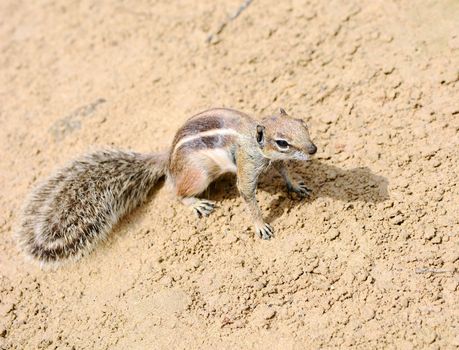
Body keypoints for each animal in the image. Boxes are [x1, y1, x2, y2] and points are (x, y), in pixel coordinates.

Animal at [18, 106, 320, 266]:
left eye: (303, 124)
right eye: (282, 141)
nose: (313, 149)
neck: (253, 140)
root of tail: (168, 159)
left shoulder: (273, 163)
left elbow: (285, 171)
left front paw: (296, 185)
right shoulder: (247, 167)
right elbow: (247, 194)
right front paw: (260, 225)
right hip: (198, 174)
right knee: (176, 193)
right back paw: (195, 203)